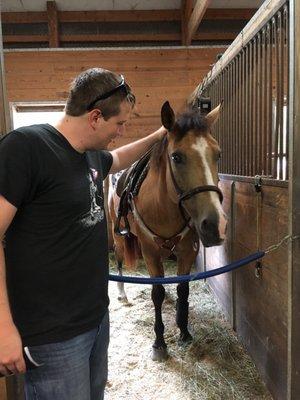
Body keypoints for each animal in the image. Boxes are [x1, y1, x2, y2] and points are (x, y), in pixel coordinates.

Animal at [109, 101, 226, 360]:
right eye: (177, 157)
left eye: (218, 154)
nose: (216, 225)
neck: (163, 206)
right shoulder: (150, 253)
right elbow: (157, 293)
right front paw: (159, 343)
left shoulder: (188, 250)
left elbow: (183, 288)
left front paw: (184, 331)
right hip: (119, 238)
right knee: (120, 260)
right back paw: (122, 293)